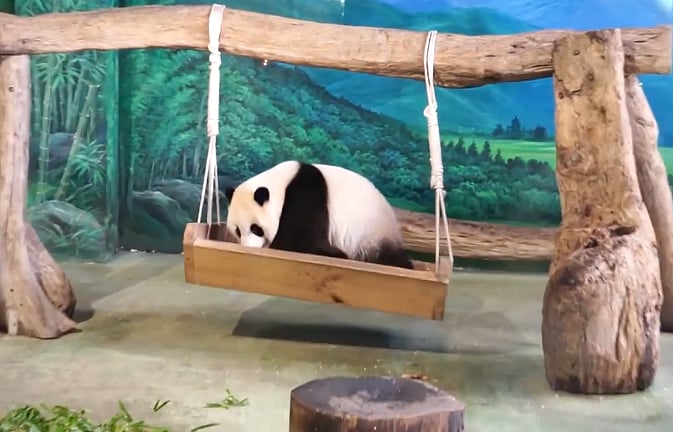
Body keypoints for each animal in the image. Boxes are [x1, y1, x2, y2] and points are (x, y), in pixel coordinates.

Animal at [224, 160, 414, 269]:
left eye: (256, 228)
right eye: (238, 230)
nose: (249, 247)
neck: (281, 184)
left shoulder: (306, 196)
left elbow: (298, 240)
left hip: (371, 236)